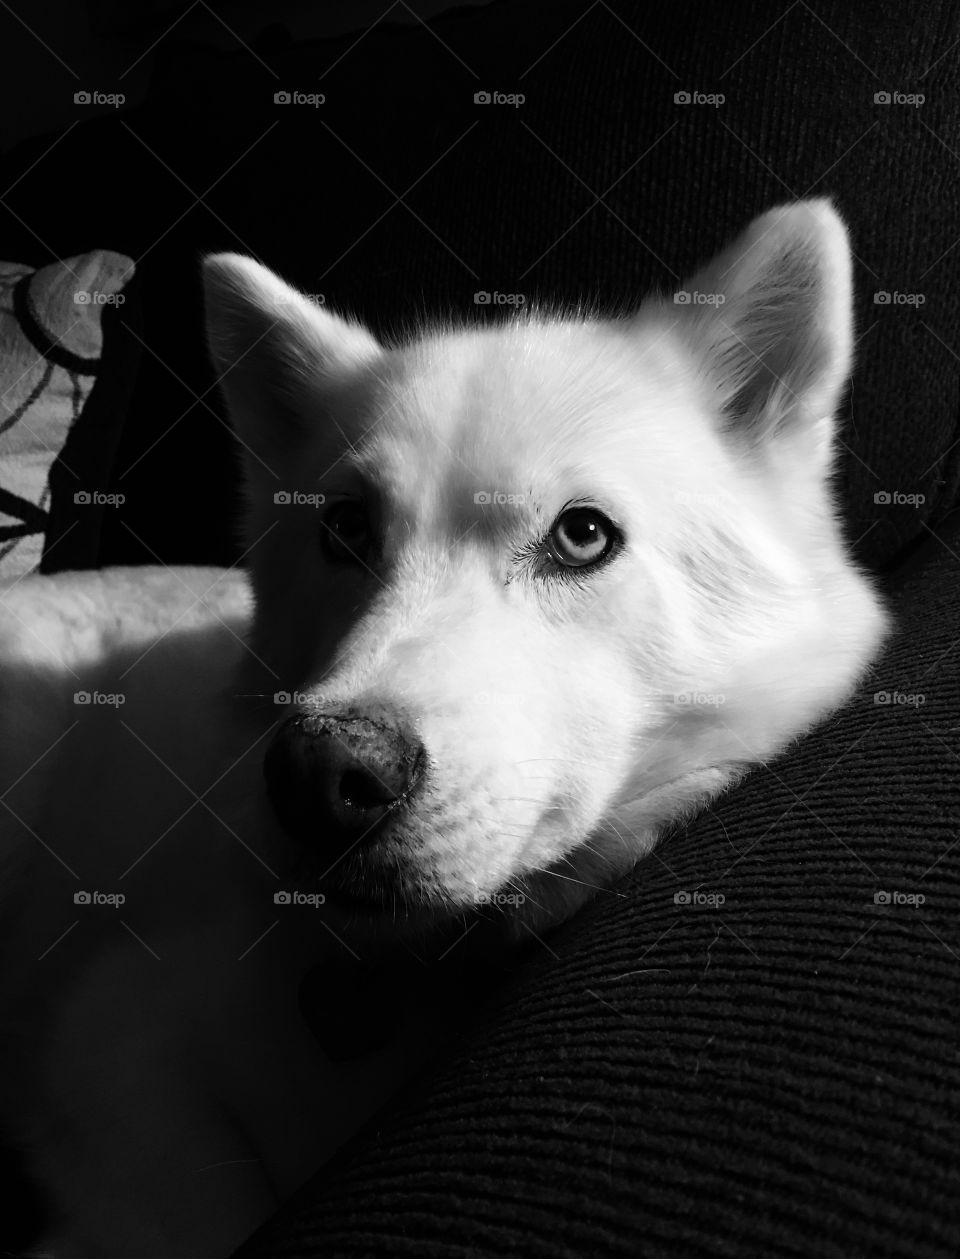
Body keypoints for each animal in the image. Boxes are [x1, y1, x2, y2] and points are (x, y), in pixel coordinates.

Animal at [0, 201, 885, 1253]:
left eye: (582, 534)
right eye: (344, 529)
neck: (406, 972)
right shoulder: (108, 1035)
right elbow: (193, 1208)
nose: (318, 780)